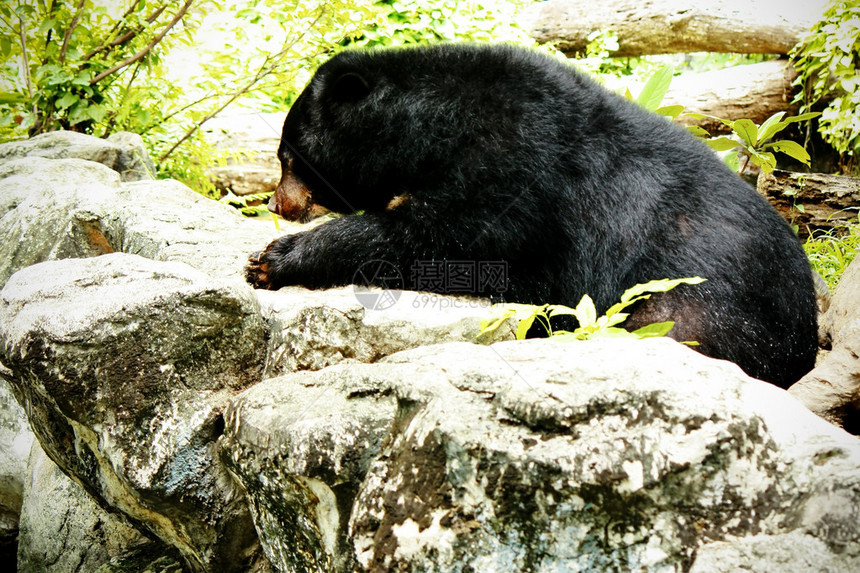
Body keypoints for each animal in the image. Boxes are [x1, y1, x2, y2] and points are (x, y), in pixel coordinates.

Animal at [245, 42, 816, 386]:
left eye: (287, 157)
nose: (276, 204)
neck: (427, 128)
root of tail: (807, 334)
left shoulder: (517, 169)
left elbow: (442, 239)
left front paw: (272, 260)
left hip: (699, 307)